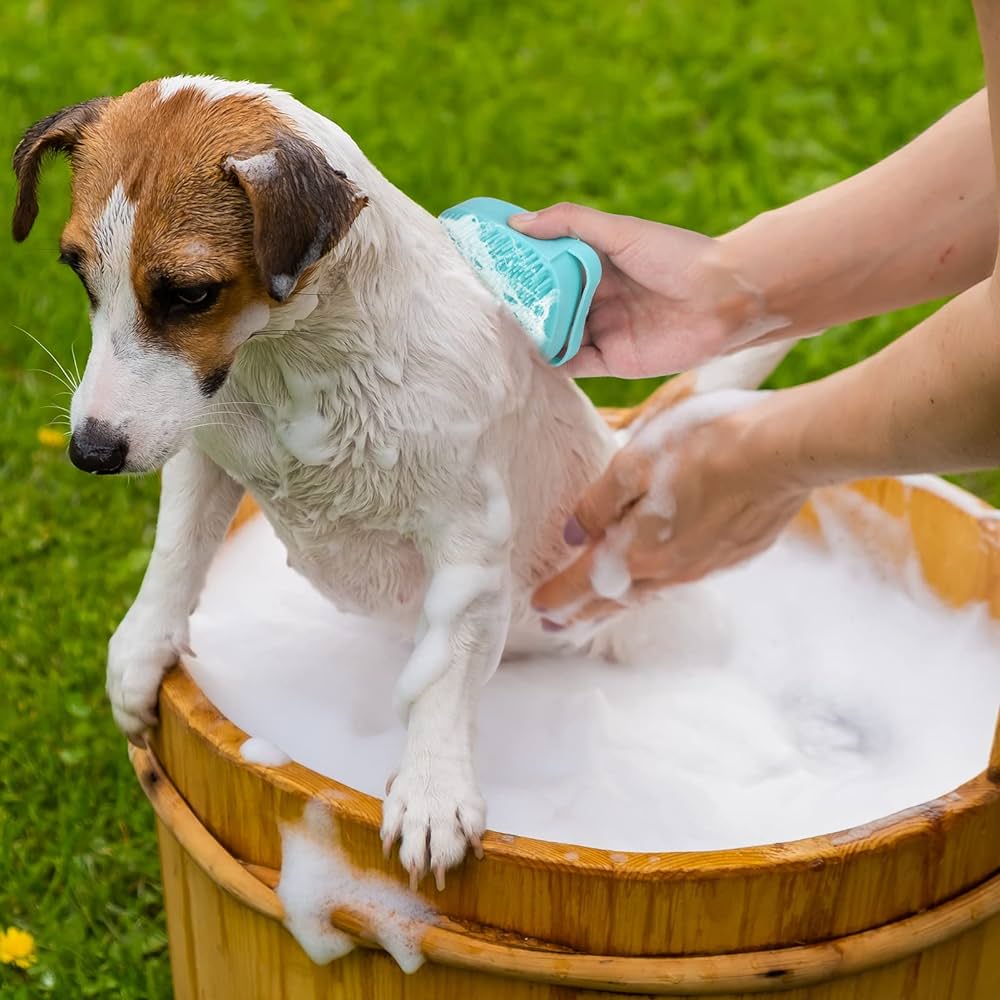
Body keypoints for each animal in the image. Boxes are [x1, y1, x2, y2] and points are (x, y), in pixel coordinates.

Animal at [11, 80, 784, 892]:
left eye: (190, 295)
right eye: (77, 272)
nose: (90, 451)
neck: (293, 362)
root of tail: (624, 450)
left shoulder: (468, 537)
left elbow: (443, 670)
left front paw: (432, 788)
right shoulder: (201, 449)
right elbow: (176, 555)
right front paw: (139, 651)